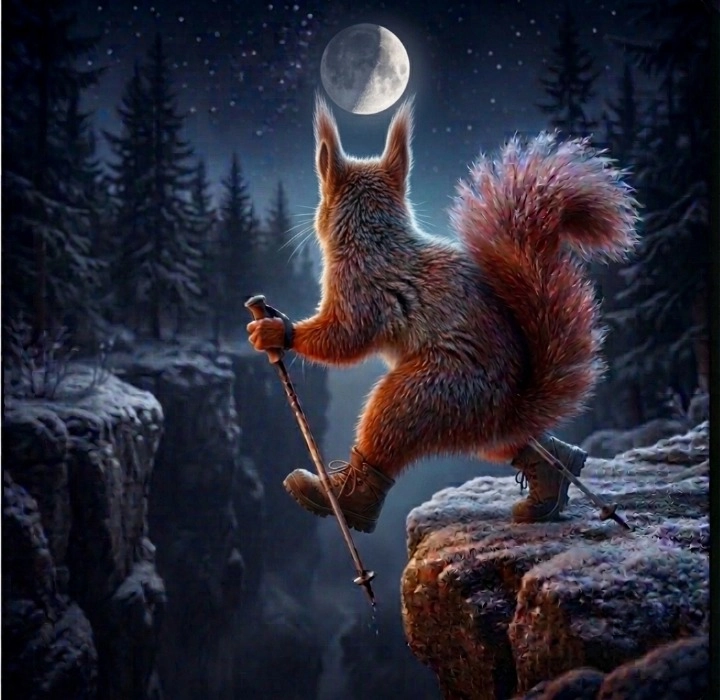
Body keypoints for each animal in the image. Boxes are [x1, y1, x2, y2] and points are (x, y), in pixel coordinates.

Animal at [247, 97, 639, 533]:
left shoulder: (361, 287)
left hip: (427, 394)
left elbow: (346, 337)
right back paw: (554, 484)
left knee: (390, 433)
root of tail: (506, 409)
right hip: (476, 425)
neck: (374, 236)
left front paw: (275, 330)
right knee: (513, 443)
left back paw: (343, 500)